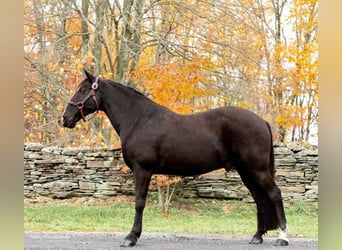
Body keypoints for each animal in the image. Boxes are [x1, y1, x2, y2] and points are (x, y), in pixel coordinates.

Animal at [61, 70, 288, 246]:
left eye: (83, 90)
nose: (65, 118)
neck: (138, 119)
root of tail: (262, 121)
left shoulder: (142, 169)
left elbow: (139, 202)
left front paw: (131, 237)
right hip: (245, 171)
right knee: (259, 198)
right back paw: (257, 236)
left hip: (257, 169)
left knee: (274, 194)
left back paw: (283, 237)